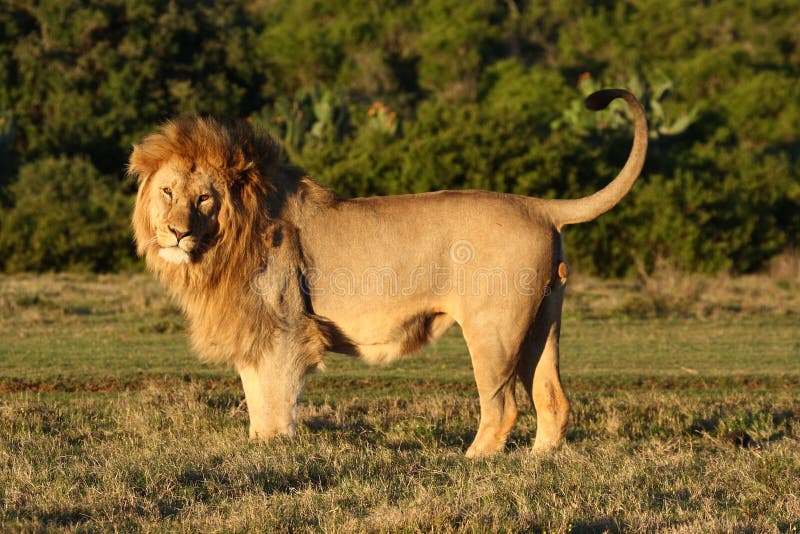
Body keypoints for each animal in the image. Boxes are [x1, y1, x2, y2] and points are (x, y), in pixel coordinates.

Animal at [128, 88, 648, 456]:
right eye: (168, 192)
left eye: (204, 199)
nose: (176, 233)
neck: (219, 249)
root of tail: (539, 205)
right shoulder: (253, 329)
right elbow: (256, 393)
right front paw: (257, 446)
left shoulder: (286, 328)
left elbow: (275, 397)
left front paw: (274, 449)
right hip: (542, 322)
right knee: (554, 399)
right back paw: (539, 460)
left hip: (493, 329)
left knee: (502, 407)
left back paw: (470, 461)